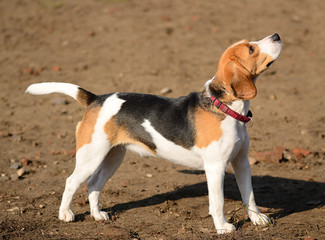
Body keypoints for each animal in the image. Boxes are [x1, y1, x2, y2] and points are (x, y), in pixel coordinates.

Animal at [26, 32, 280, 233]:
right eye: (251, 49)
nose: (277, 35)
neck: (224, 106)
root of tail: (95, 99)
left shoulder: (242, 162)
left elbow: (250, 195)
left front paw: (257, 219)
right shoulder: (215, 167)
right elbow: (217, 203)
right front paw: (223, 227)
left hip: (112, 157)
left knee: (93, 184)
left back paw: (97, 215)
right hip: (91, 156)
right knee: (71, 182)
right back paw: (65, 214)